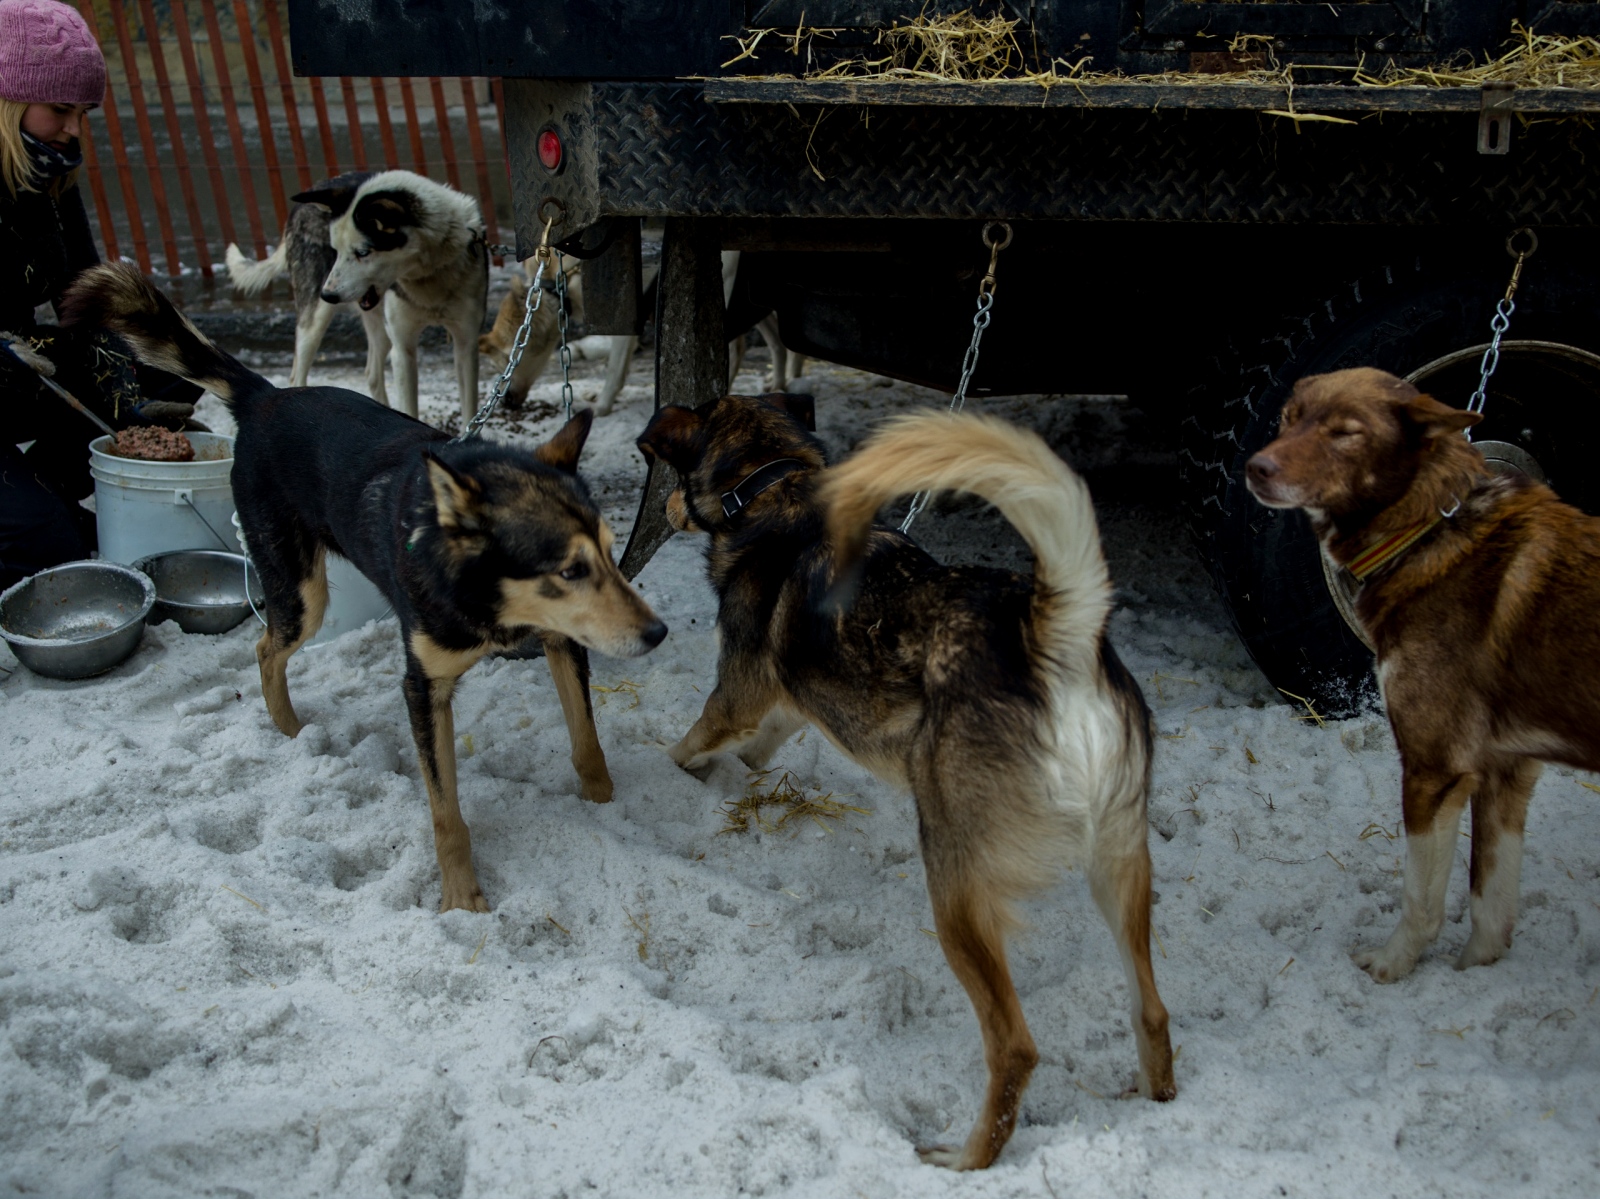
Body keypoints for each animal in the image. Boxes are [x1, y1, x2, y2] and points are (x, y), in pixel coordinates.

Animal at [65, 264, 665, 909]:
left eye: (609, 551)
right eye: (571, 570)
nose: (658, 633)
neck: (481, 595)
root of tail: (267, 397)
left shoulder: (564, 642)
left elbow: (588, 744)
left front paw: (609, 808)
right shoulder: (423, 689)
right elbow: (446, 814)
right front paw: (460, 901)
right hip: (302, 592)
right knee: (265, 647)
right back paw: (289, 732)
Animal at [225, 168, 486, 419]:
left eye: (362, 252)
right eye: (335, 250)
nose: (328, 295)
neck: (428, 277)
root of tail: (313, 189)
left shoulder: (466, 345)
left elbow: (469, 411)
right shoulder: (402, 351)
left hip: (379, 327)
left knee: (372, 373)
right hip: (315, 322)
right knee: (297, 375)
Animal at [636, 395, 1177, 1171]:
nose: (667, 506)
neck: (775, 484)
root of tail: (1056, 643)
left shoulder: (733, 695)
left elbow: (686, 746)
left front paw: (663, 772)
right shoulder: (792, 703)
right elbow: (762, 747)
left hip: (955, 886)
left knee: (1014, 1047)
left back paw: (966, 1159)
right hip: (1122, 864)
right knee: (1152, 1008)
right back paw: (1156, 1101)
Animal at [1248, 366, 1600, 979]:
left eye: (1346, 433)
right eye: (1288, 420)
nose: (1255, 467)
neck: (1425, 528)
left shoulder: (1434, 771)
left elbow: (1421, 898)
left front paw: (1392, 966)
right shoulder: (1507, 773)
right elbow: (1490, 905)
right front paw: (1473, 974)